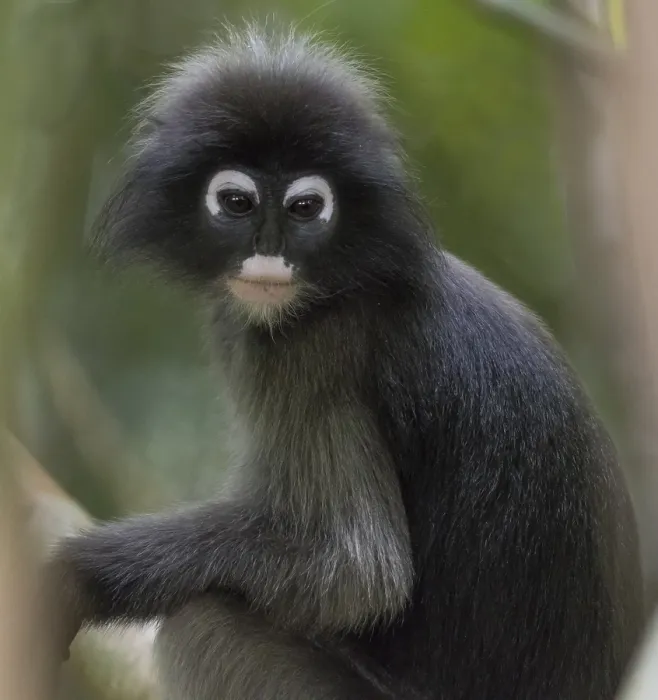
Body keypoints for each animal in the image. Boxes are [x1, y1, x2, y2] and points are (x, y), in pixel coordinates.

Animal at [44, 23, 644, 700]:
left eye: (306, 208)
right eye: (237, 202)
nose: (269, 254)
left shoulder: (313, 349)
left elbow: (359, 567)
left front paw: (81, 575)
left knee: (202, 619)